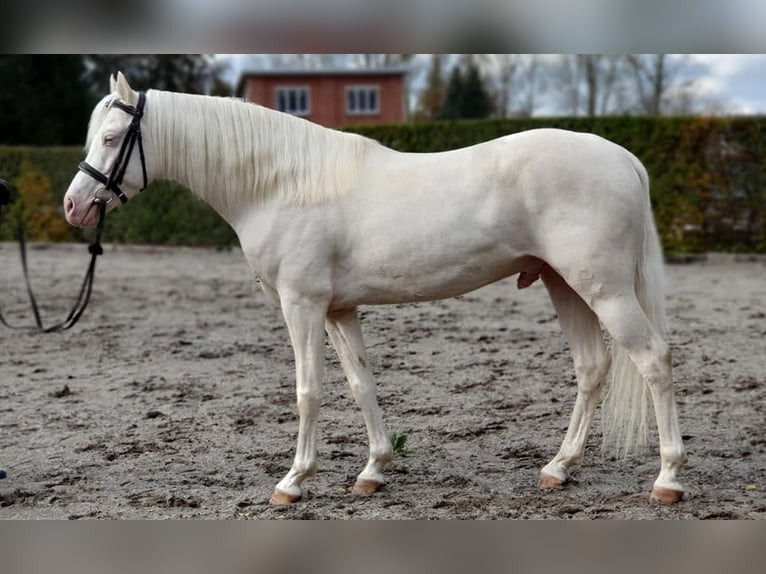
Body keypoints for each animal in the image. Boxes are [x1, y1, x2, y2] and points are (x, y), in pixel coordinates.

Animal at [66, 73, 688, 508]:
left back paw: (667, 478)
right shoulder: (339, 310)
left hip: (603, 289)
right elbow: (362, 384)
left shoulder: (302, 305)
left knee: (654, 360)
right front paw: (373, 470)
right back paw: (558, 468)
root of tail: (623, 157)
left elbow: (308, 392)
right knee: (592, 368)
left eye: (112, 137)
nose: (74, 207)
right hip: (566, 286)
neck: (281, 183)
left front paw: (293, 482)